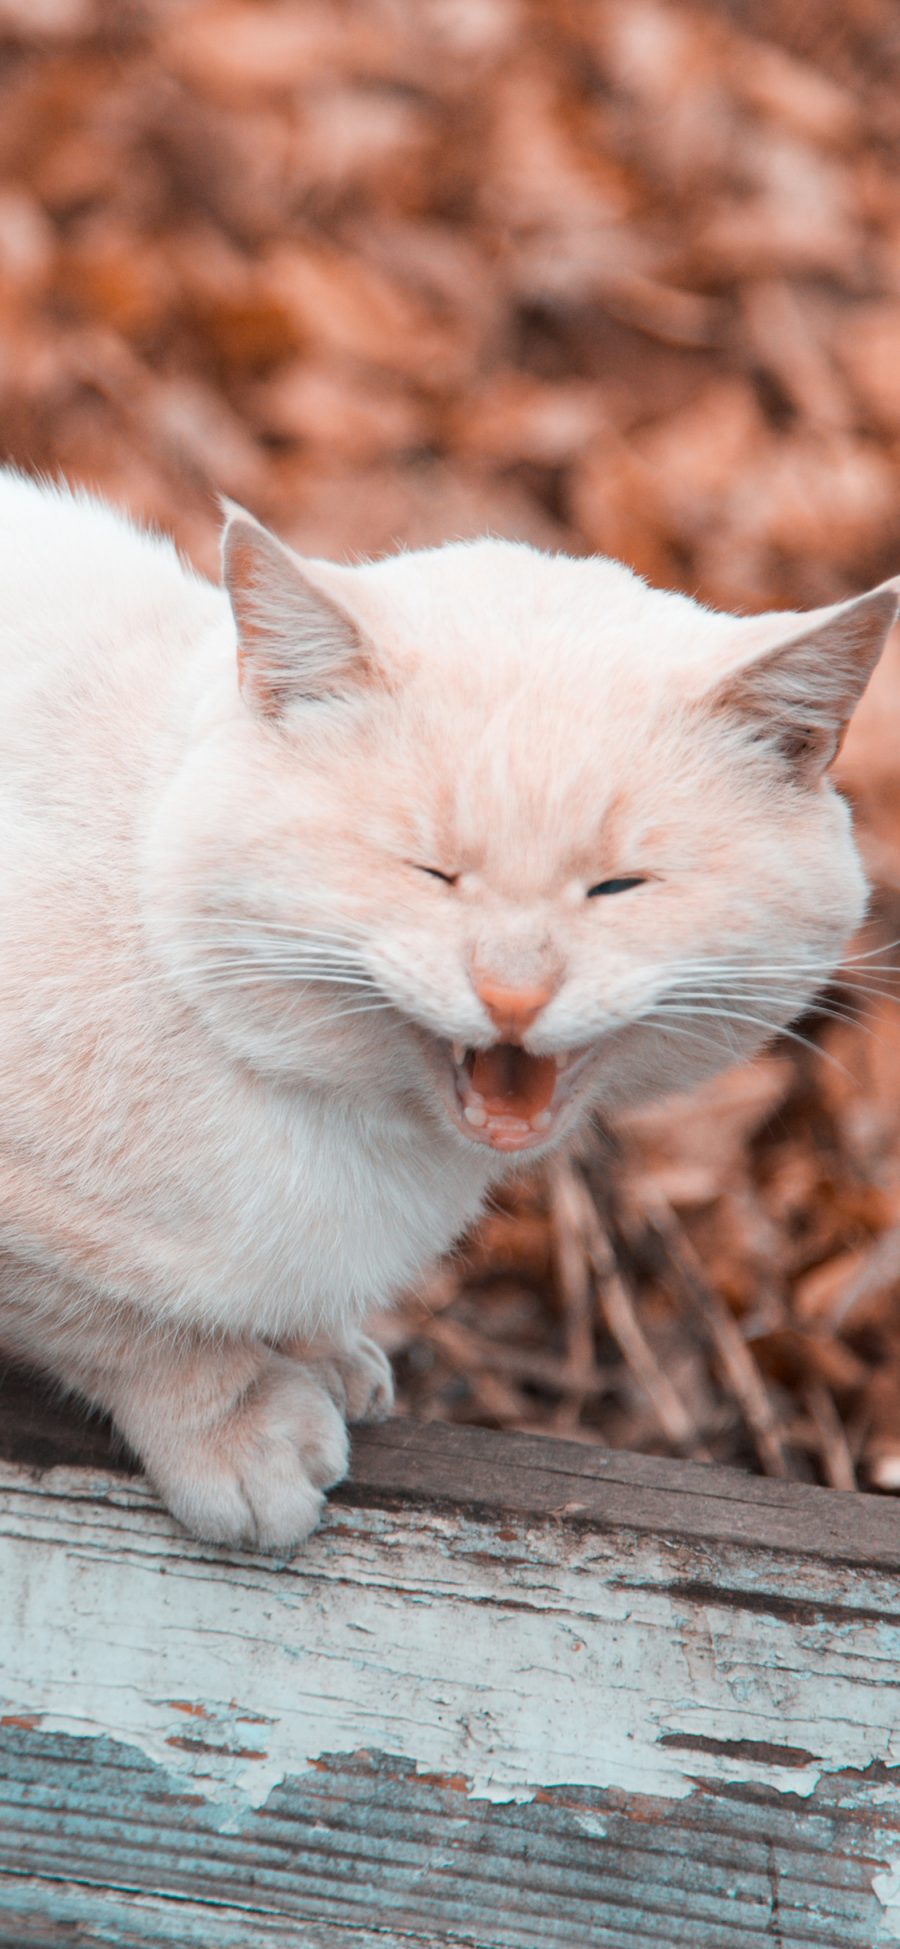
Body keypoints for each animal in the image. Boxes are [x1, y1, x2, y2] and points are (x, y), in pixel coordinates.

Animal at [0, 463, 892, 1543]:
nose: (512, 993)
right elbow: (119, 1320)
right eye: (430, 871)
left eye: (618, 889)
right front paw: (240, 1419)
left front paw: (323, 1353)